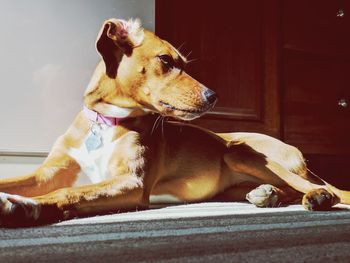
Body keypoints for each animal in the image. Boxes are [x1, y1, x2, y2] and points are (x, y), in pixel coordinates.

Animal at [0, 17, 350, 228]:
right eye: (165, 60)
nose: (214, 96)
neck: (107, 120)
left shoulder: (132, 182)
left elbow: (69, 193)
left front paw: (24, 207)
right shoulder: (48, 173)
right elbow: (35, 183)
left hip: (240, 151)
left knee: (322, 188)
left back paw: (317, 197)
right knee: (286, 188)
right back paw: (269, 194)